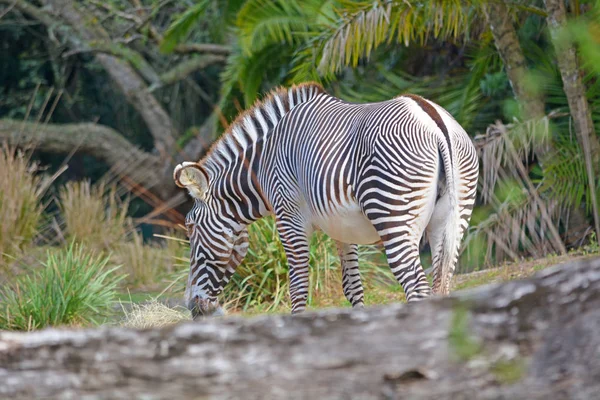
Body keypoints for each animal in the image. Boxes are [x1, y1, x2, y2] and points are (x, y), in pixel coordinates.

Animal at [173, 82, 478, 318]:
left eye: (190, 227)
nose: (192, 306)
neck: (263, 165)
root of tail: (432, 120)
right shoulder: (343, 229)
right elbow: (352, 287)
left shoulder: (289, 219)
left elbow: (297, 287)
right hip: (452, 219)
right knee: (442, 284)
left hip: (394, 218)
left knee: (417, 288)